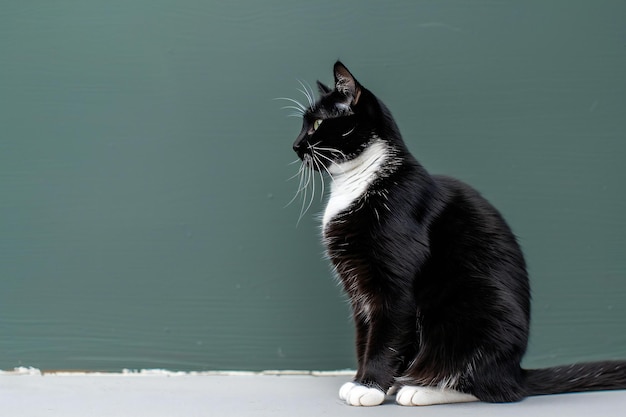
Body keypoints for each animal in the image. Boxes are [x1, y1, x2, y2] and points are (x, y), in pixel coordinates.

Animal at [288, 62, 624, 406]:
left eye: (316, 123)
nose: (295, 145)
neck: (360, 182)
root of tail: (516, 372)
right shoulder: (359, 293)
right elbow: (364, 336)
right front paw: (365, 381)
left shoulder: (394, 285)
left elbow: (385, 337)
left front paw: (368, 387)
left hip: (472, 310)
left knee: (486, 387)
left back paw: (420, 390)